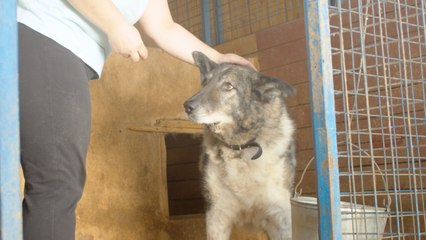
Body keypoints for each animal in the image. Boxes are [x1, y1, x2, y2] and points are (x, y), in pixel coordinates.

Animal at [183, 52, 296, 240]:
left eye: (228, 86)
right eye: (205, 83)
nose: (187, 106)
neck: (241, 149)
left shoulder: (279, 217)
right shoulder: (217, 216)